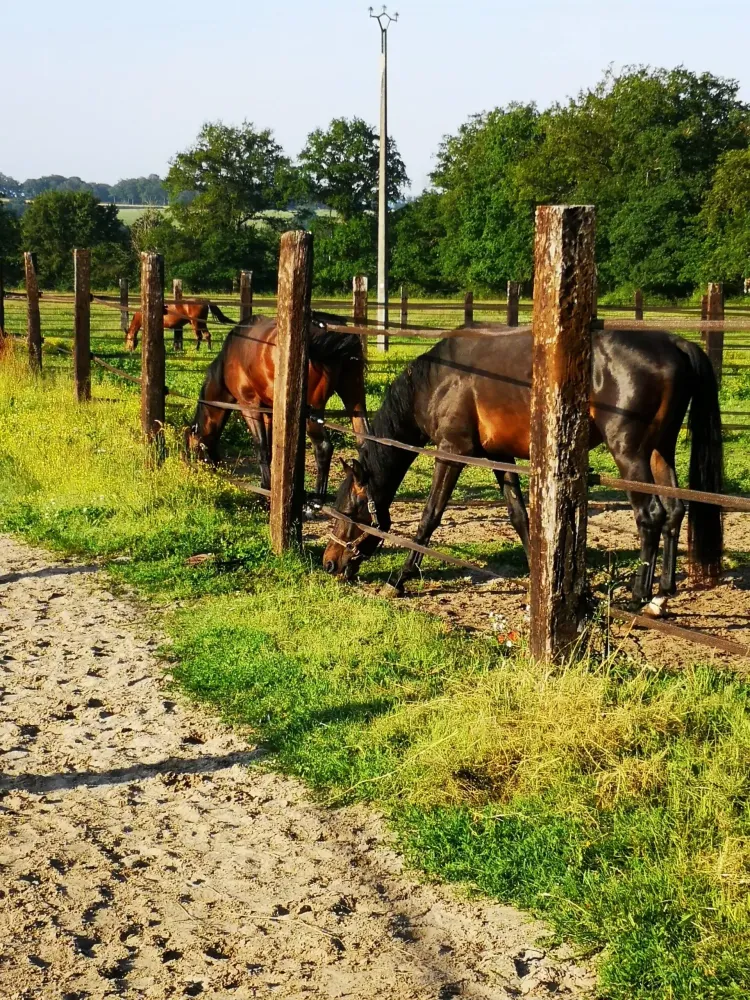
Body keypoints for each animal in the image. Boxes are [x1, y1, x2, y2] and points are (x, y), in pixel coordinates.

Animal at [186, 316, 369, 503]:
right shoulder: (269, 411)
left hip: (313, 412)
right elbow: (271, 450)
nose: (193, 472)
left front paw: (265, 491)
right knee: (364, 441)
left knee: (323, 447)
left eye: (193, 450)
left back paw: (316, 501)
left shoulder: (249, 406)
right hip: (354, 397)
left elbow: (261, 447)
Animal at [323, 327, 723, 611]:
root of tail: (674, 343)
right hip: (661, 451)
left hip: (630, 454)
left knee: (650, 515)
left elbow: (430, 516)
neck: (438, 379)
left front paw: (399, 579)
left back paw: (639, 594)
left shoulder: (452, 452)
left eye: (350, 512)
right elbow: (520, 517)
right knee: (675, 510)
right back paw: (663, 593)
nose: (329, 564)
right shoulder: (499, 457)